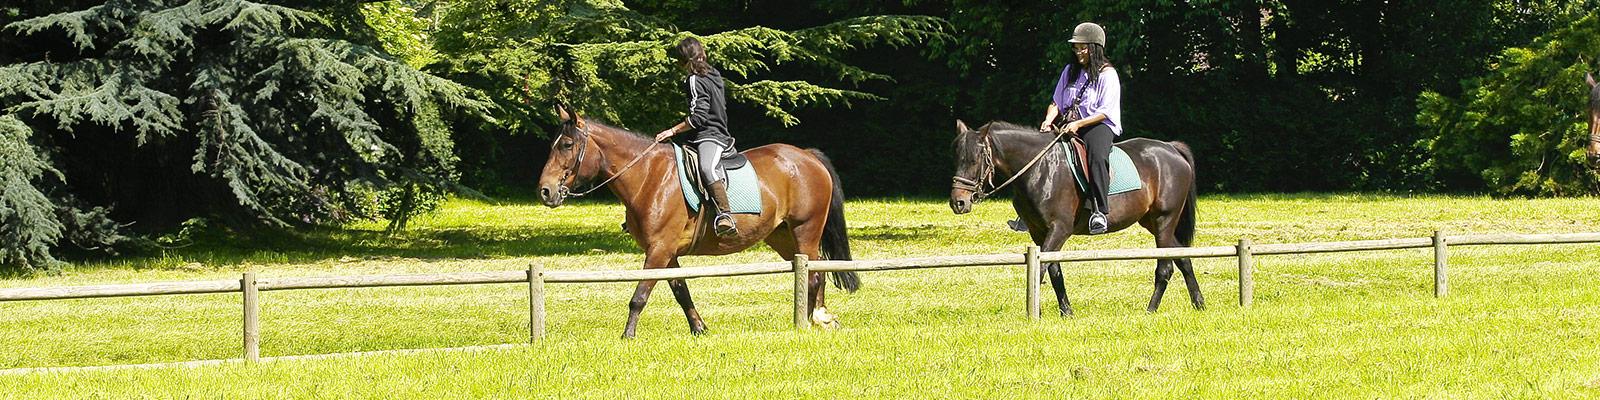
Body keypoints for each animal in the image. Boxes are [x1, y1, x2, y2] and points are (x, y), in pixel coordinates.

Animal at [537, 108, 864, 336]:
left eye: (567, 145)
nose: (545, 191)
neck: (648, 176)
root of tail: (808, 157)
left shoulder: (658, 249)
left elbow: (640, 294)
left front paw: (627, 335)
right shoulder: (667, 252)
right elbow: (681, 291)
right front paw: (699, 329)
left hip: (805, 229)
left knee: (813, 274)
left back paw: (807, 321)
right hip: (782, 236)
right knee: (812, 267)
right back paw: (820, 317)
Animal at [947, 120, 1203, 313]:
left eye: (976, 159)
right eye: (956, 157)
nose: (958, 202)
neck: (1039, 168)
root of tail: (1170, 149)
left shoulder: (1059, 229)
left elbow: (1041, 269)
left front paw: (1033, 312)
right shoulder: (1039, 233)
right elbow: (1054, 270)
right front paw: (1065, 311)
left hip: (1164, 221)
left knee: (1165, 267)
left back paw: (1151, 309)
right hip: (1151, 222)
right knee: (1183, 258)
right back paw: (1199, 303)